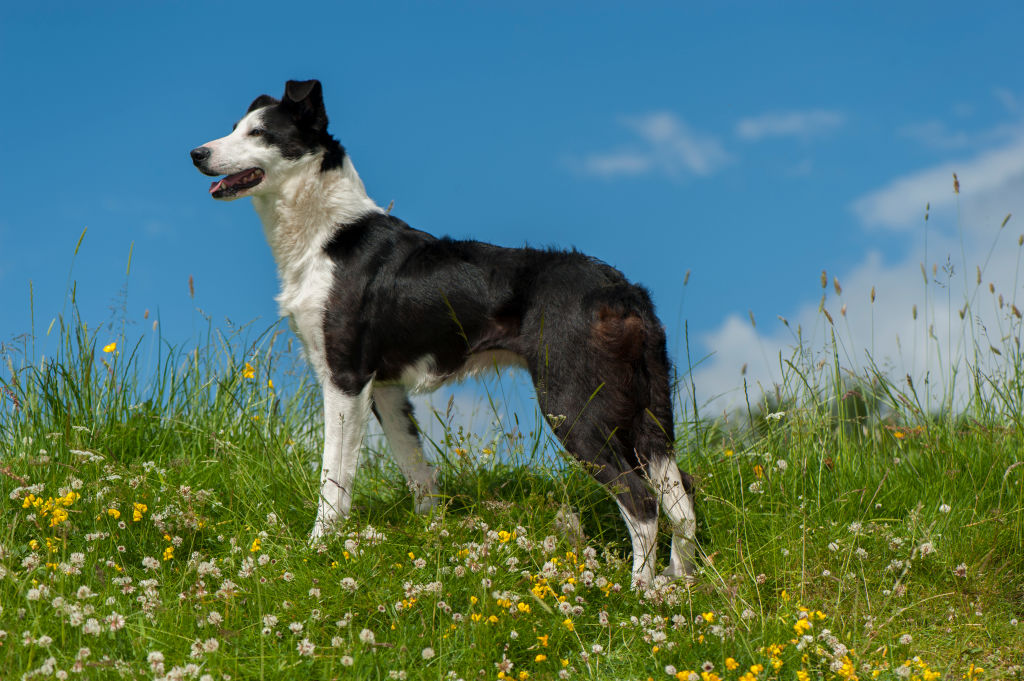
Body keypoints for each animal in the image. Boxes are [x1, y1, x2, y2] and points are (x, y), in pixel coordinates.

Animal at [192, 79, 700, 585]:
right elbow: (417, 471)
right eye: (234, 127)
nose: (196, 153)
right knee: (683, 497)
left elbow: (334, 479)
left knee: (642, 501)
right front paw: (429, 542)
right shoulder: (386, 388)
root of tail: (624, 289)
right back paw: (680, 586)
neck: (326, 234)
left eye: (259, 133)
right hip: (644, 414)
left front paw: (319, 548)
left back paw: (638, 591)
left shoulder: (345, 379)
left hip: (575, 404)